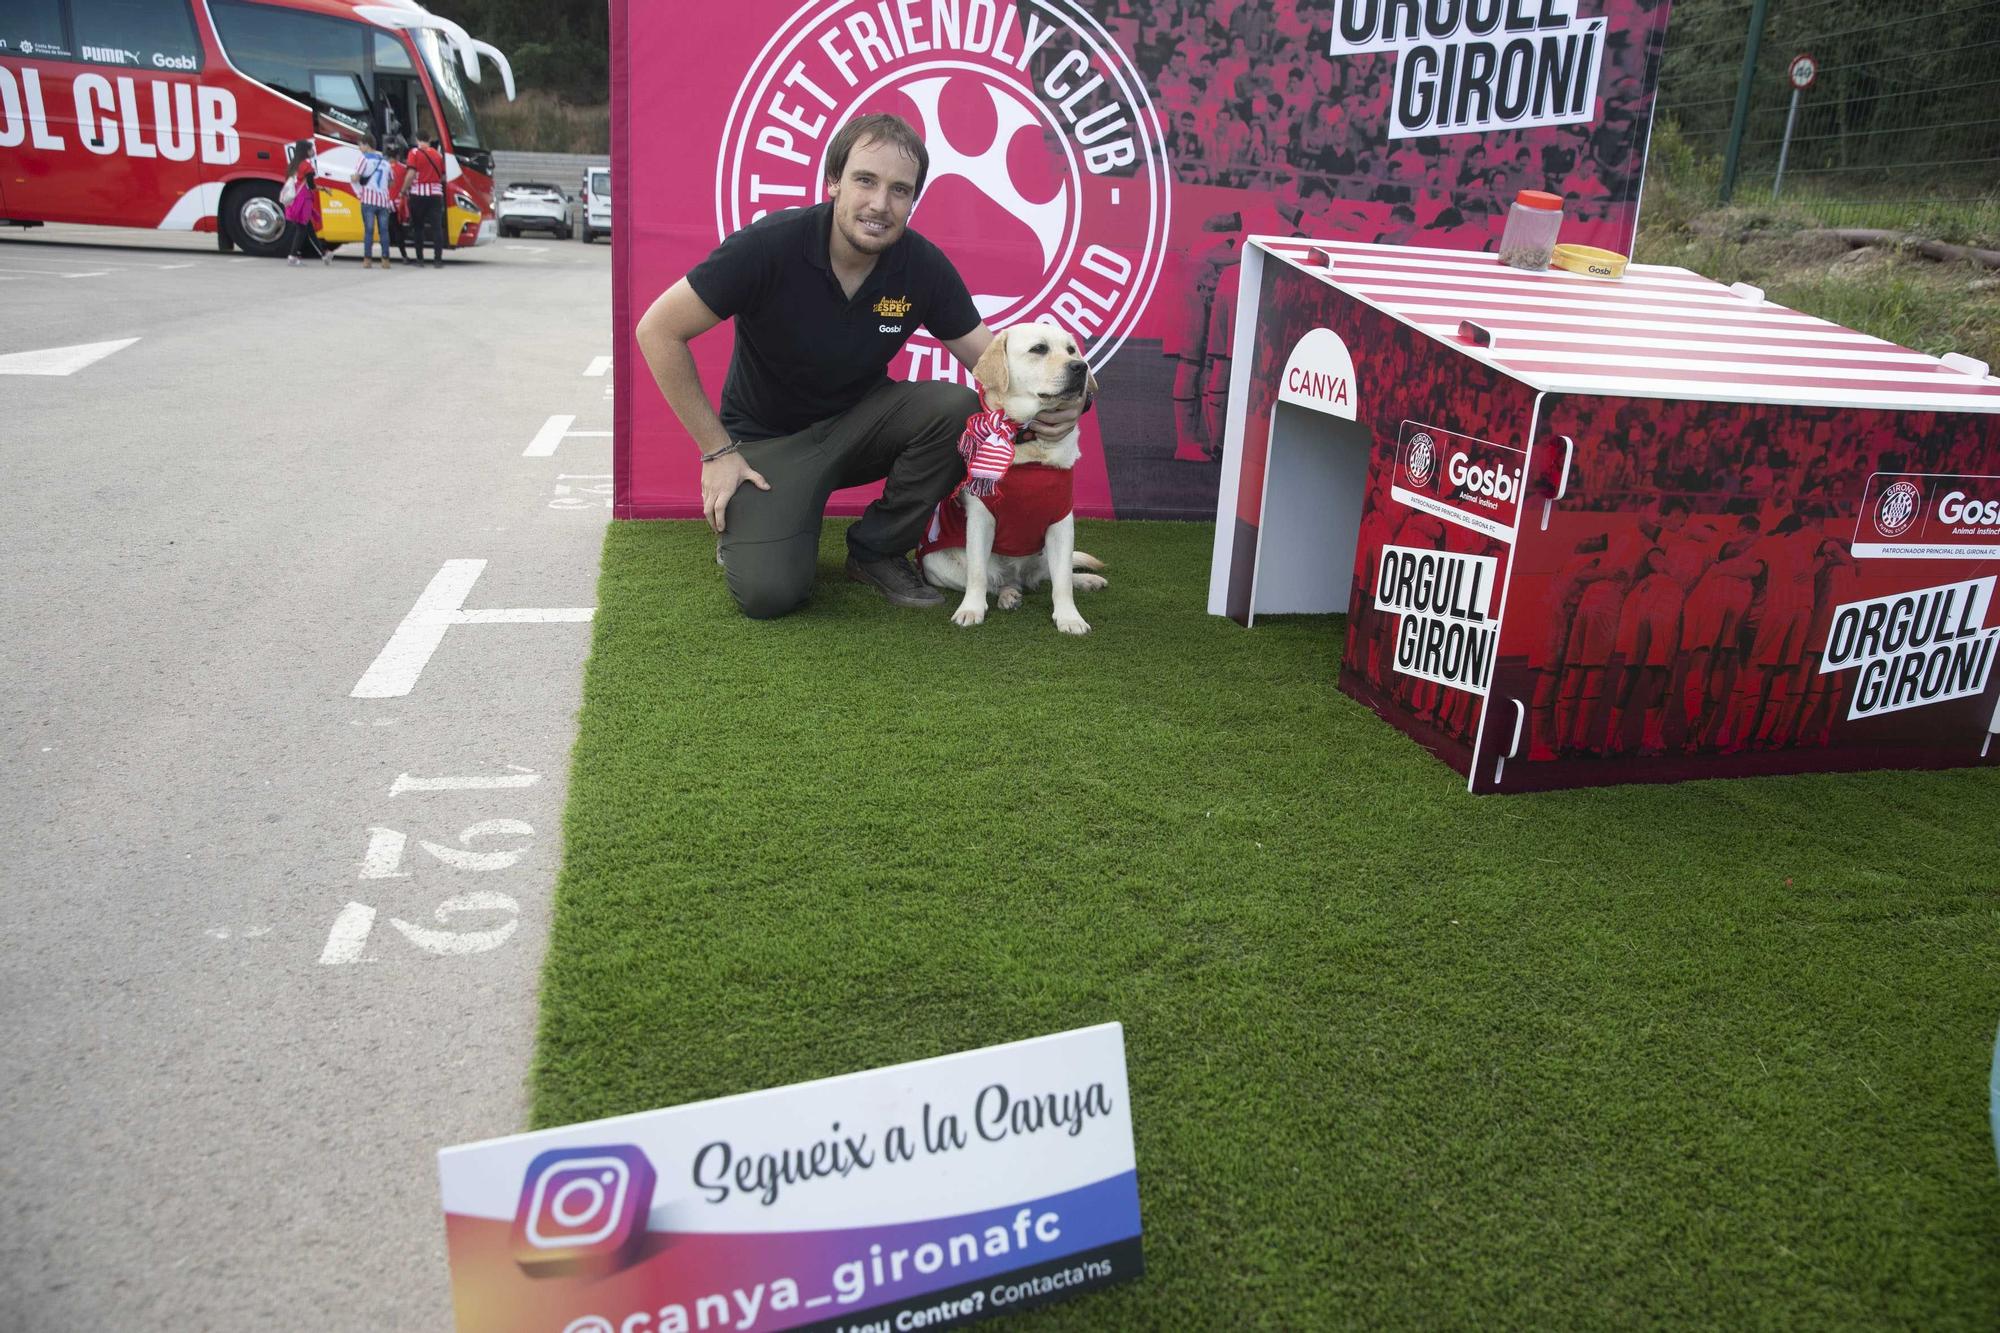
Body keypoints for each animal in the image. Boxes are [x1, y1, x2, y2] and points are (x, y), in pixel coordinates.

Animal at [920, 322, 1112, 632]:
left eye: (1071, 349)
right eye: (1039, 348)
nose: (1081, 367)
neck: (1029, 441)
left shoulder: (1061, 521)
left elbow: (1062, 581)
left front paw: (1069, 617)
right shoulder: (981, 518)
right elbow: (977, 574)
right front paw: (971, 610)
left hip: (1043, 555)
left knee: (1053, 575)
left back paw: (1086, 580)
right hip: (935, 563)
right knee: (995, 582)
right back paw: (1008, 595)